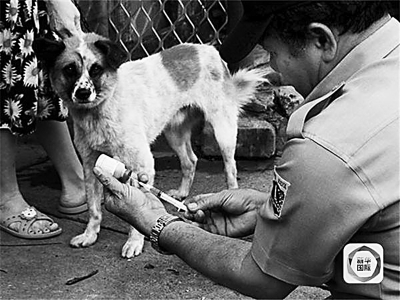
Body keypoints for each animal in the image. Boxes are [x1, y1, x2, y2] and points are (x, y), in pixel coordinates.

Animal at [32, 32, 268, 258]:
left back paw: (232, 193)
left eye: (96, 69)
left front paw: (134, 243)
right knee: (190, 161)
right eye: (70, 69)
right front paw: (90, 235)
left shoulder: (142, 164)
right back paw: (182, 192)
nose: (82, 93)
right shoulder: (91, 165)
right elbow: (93, 208)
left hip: (222, 130)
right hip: (174, 133)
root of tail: (209, 49)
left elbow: (136, 213)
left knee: (230, 167)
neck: (99, 110)